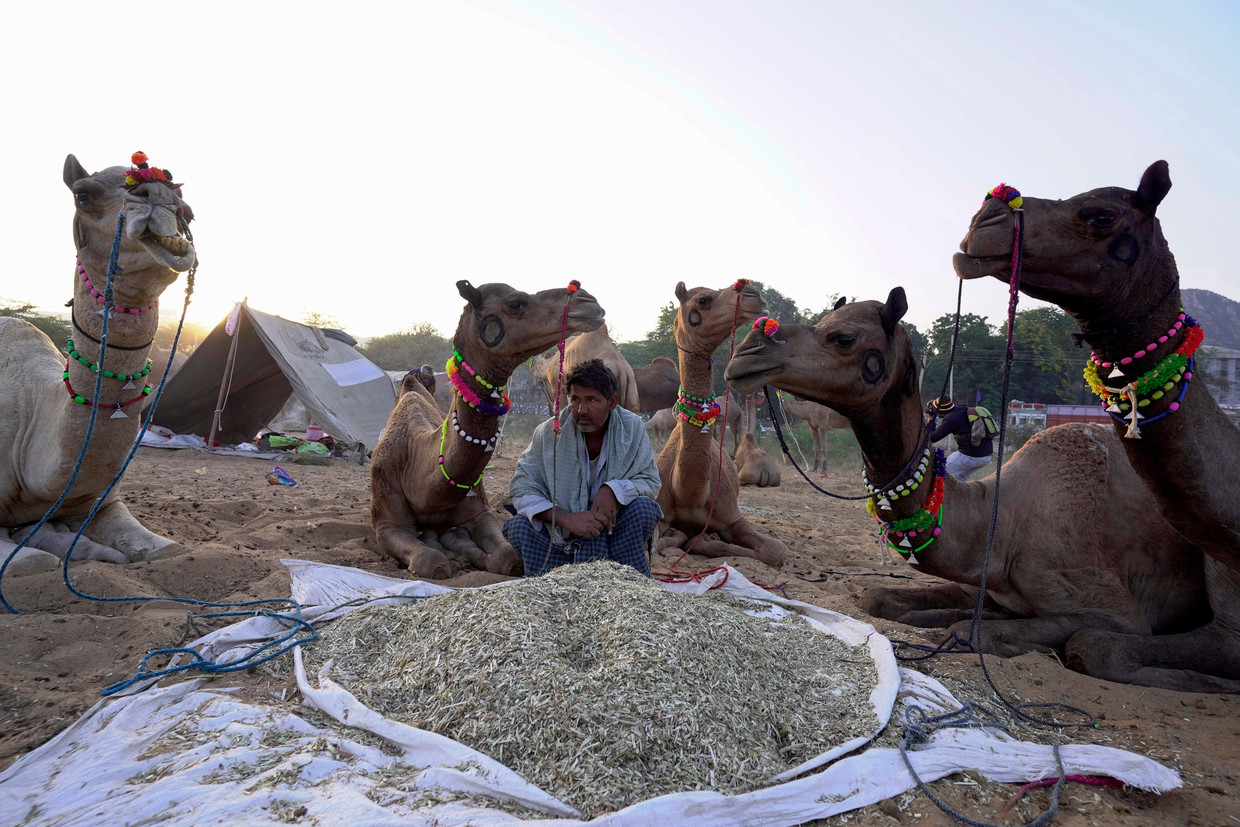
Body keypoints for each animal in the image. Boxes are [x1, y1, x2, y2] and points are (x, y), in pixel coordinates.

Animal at [1, 153, 196, 575]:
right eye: (82, 195)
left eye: (186, 209)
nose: (162, 202)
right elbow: (31, 563)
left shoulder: (104, 502)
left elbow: (166, 550)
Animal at [370, 280, 604, 579]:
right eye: (515, 303)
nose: (588, 301)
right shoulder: (387, 522)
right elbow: (431, 562)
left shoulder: (479, 510)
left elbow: (508, 556)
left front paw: (465, 544)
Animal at [725, 289, 1211, 671]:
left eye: (843, 338)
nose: (748, 349)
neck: (1001, 525)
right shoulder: (979, 583)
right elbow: (877, 599)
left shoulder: (1118, 609)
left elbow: (972, 631)